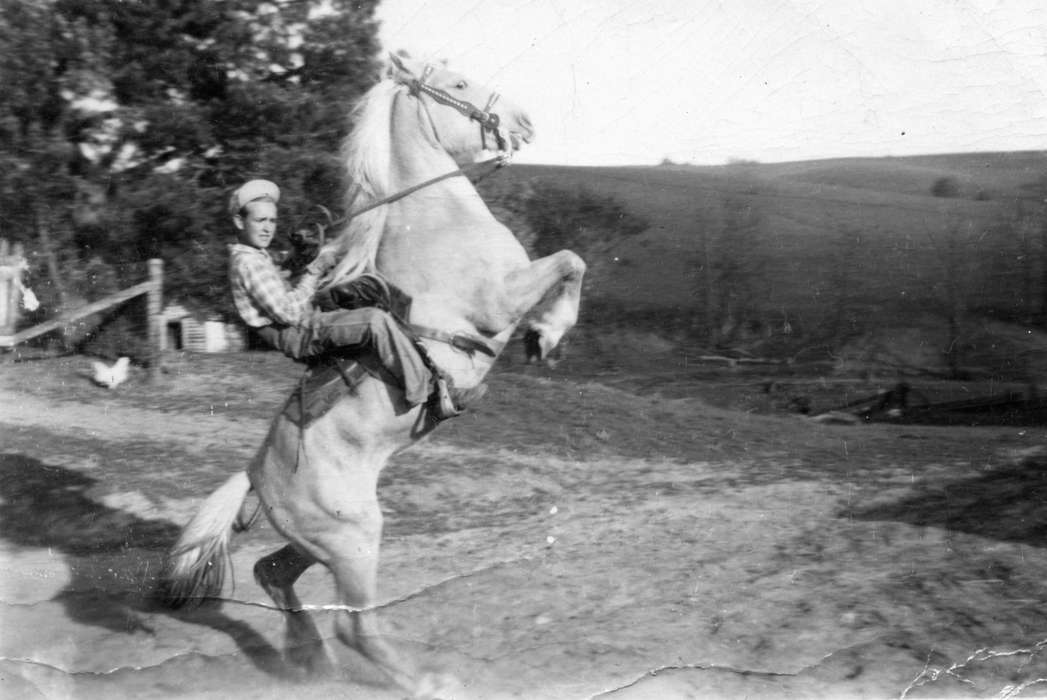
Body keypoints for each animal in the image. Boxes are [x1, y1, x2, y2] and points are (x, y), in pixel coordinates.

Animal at [159, 55, 586, 698]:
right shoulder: (498, 301)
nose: (522, 122)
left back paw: (311, 662)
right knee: (354, 624)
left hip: (323, 544)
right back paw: (425, 680)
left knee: (272, 573)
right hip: (355, 540)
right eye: (457, 84)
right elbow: (569, 261)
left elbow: (570, 263)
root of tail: (256, 475)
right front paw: (548, 333)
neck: (437, 223)